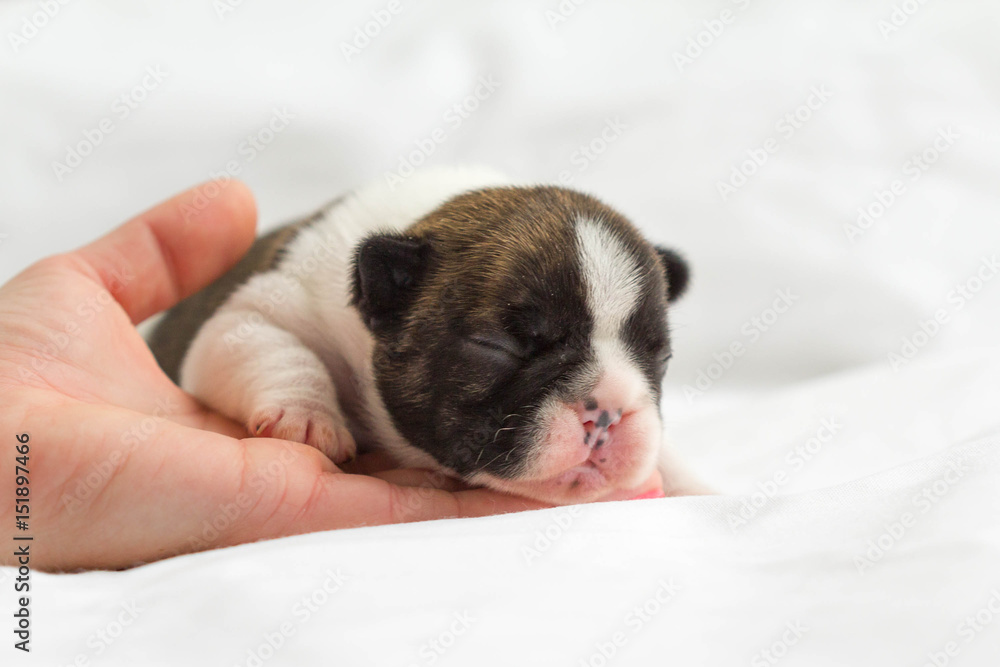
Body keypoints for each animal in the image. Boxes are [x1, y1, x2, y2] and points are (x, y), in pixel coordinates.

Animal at [150, 168, 712, 506]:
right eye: (497, 347)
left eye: (661, 358)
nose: (611, 408)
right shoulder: (252, 314)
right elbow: (276, 349)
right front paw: (308, 416)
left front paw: (687, 480)